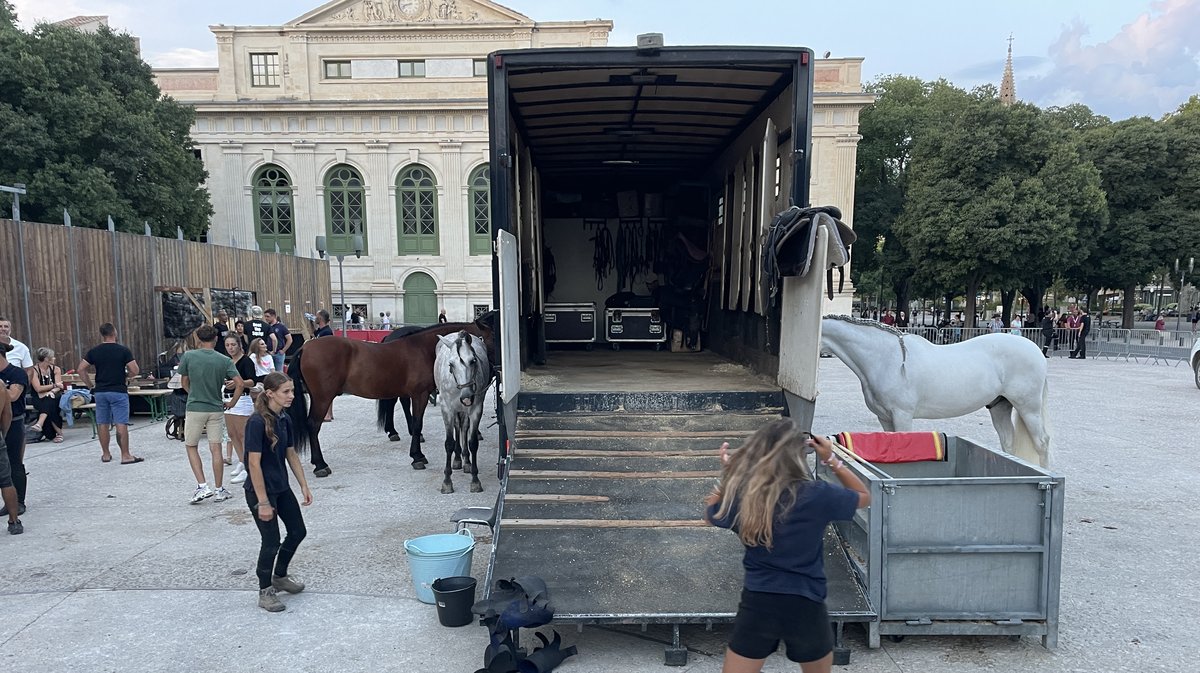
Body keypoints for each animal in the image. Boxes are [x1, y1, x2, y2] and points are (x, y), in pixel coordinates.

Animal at [285, 311, 496, 475]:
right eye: (490, 338)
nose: (493, 368)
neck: (424, 349)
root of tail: (305, 346)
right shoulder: (419, 395)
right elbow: (417, 423)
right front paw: (417, 456)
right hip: (322, 398)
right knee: (313, 425)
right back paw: (320, 465)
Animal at [434, 331, 489, 494]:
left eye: (473, 361)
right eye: (451, 365)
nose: (466, 396)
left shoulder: (476, 409)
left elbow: (472, 442)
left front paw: (475, 480)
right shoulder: (447, 409)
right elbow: (449, 443)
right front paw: (447, 481)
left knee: (463, 427)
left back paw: (465, 460)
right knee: (458, 428)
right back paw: (458, 458)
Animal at [825, 316, 1051, 467]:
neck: (886, 358)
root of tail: (1036, 350)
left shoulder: (902, 415)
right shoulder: (884, 417)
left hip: (1028, 408)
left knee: (1042, 442)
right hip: (999, 406)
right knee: (1008, 443)